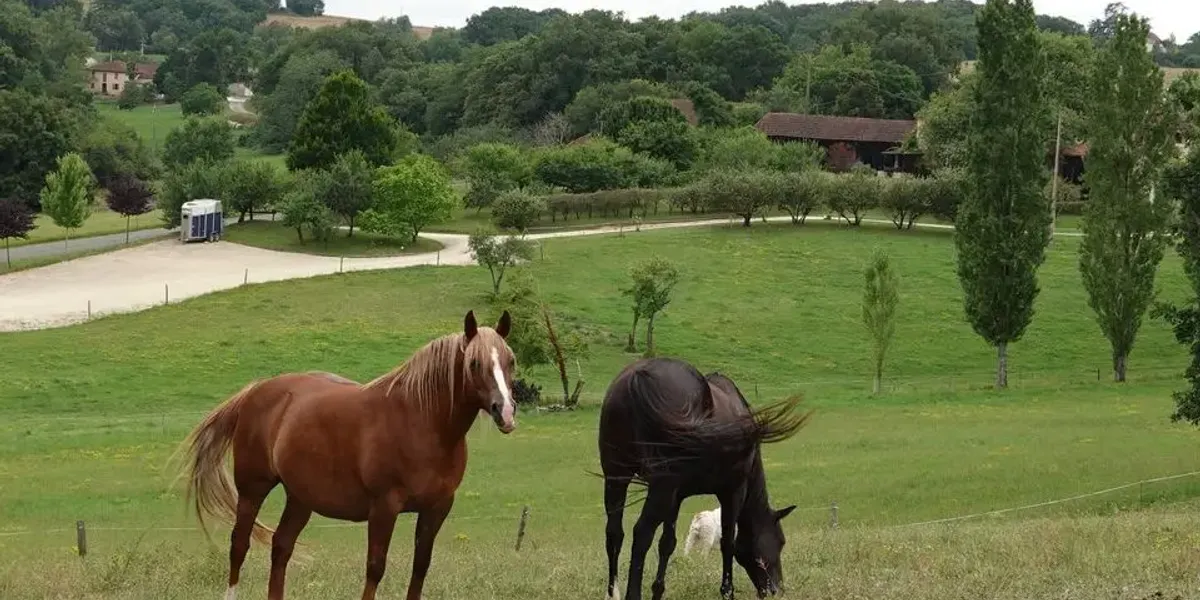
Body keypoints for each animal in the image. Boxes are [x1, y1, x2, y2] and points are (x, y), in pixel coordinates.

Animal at [177, 310, 516, 600]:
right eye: (474, 363)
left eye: (511, 361)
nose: (506, 412)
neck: (420, 421)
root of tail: (255, 390)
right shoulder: (384, 507)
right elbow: (375, 568)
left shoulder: (437, 508)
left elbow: (420, 568)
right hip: (252, 490)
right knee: (239, 545)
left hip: (300, 497)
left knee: (281, 546)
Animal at [598, 357, 811, 600]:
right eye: (781, 541)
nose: (776, 589)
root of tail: (638, 377)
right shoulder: (733, 492)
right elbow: (728, 541)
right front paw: (727, 592)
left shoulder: (677, 497)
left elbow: (667, 543)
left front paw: (658, 591)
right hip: (660, 486)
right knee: (641, 533)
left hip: (616, 477)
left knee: (614, 533)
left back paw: (613, 592)